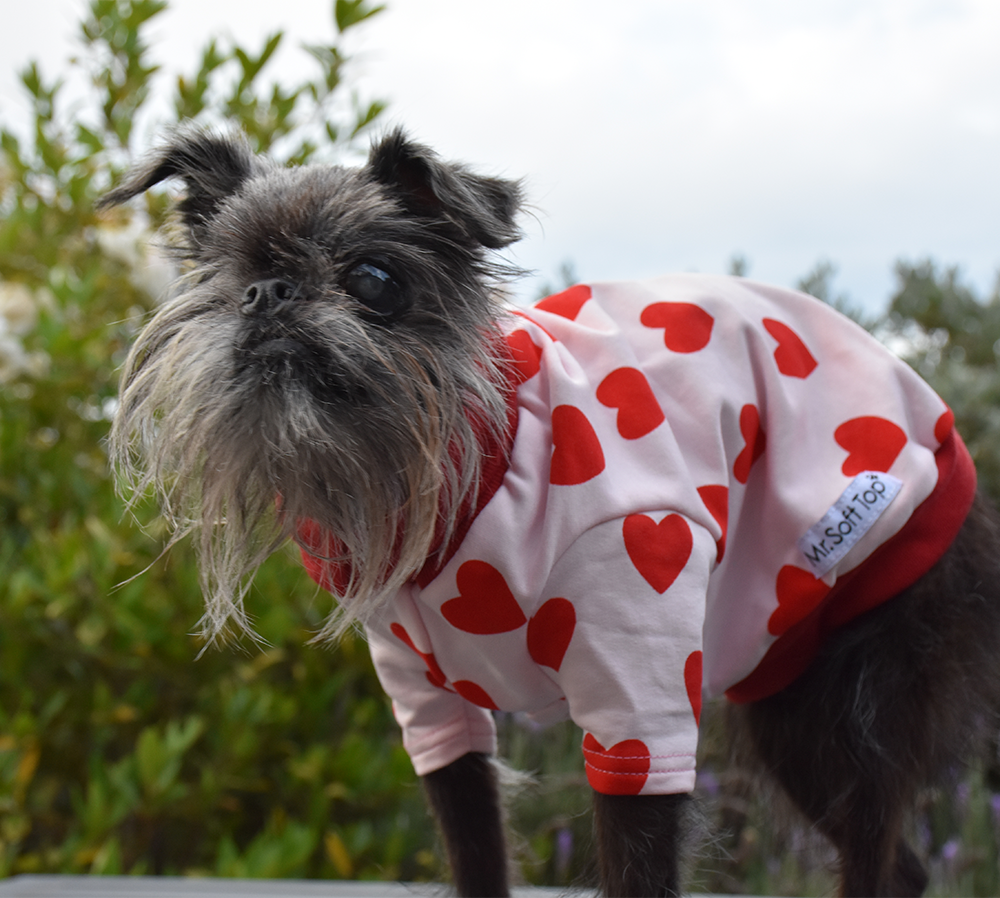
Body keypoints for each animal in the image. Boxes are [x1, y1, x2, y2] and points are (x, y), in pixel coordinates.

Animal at [97, 128, 1000, 896]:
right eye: (221, 277)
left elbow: (636, 862)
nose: (267, 291)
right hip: (787, 704)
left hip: (858, 695)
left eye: (373, 281)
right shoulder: (432, 715)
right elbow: (476, 848)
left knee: (875, 840)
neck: (469, 480)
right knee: (902, 863)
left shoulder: (638, 703)